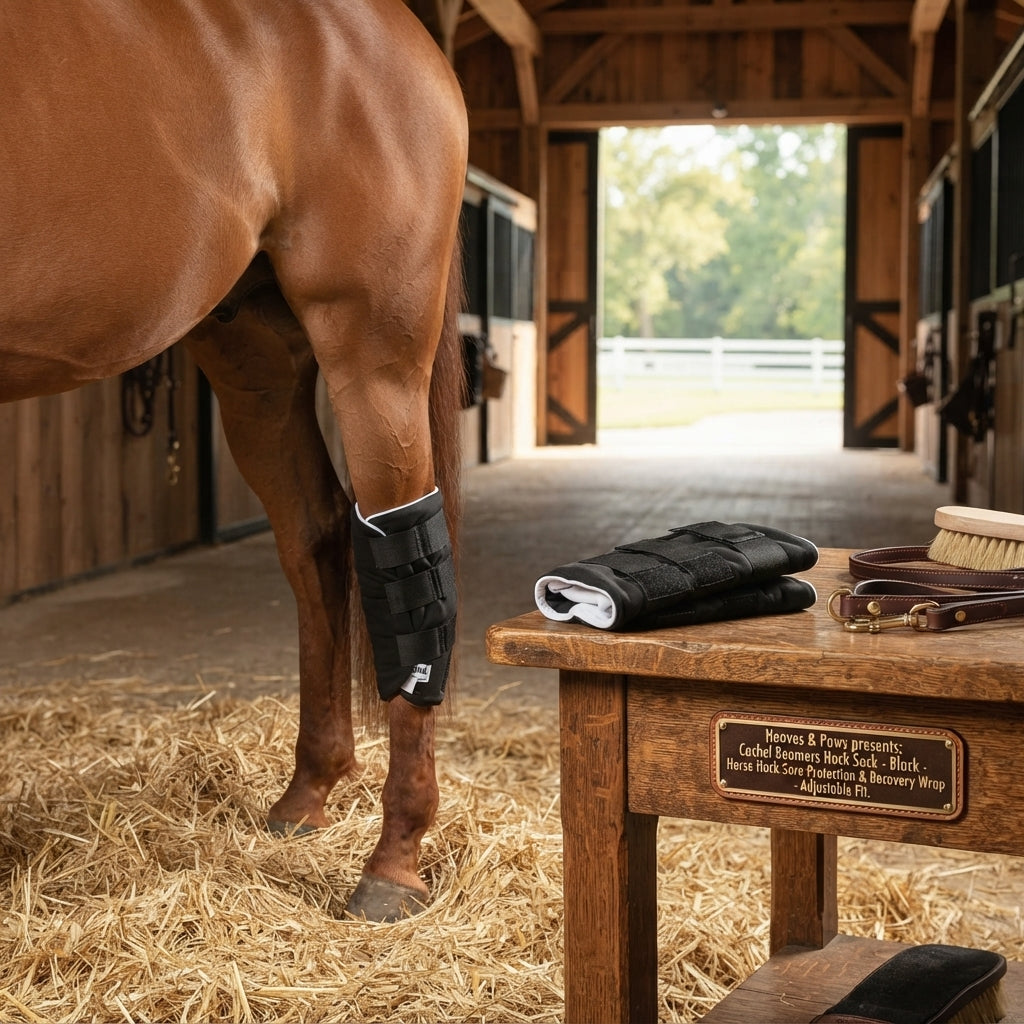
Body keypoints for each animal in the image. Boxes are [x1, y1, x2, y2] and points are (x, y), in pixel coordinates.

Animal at [1, 0, 468, 922]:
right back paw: (308, 793)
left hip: (375, 353)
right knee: (318, 536)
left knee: (403, 555)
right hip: (256, 359)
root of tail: (406, 31)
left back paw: (393, 862)